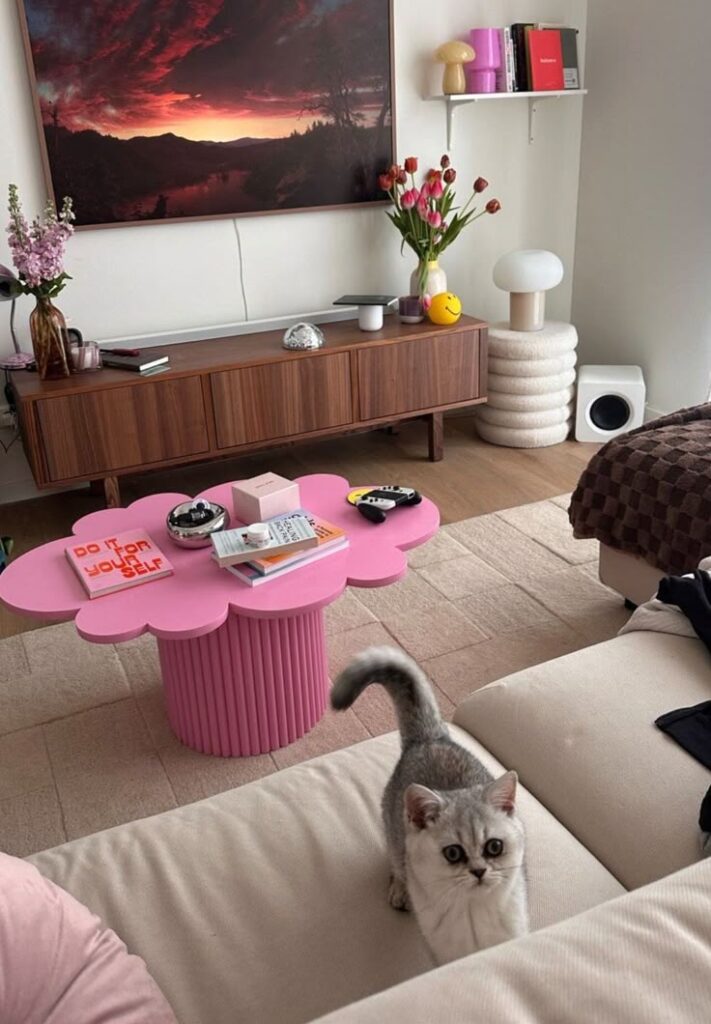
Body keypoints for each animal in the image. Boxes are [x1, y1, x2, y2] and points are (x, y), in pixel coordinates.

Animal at [333, 643, 528, 962]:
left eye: (494, 847)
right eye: (453, 853)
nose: (479, 871)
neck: (472, 912)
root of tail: (430, 738)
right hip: (394, 835)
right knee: (397, 865)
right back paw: (400, 890)